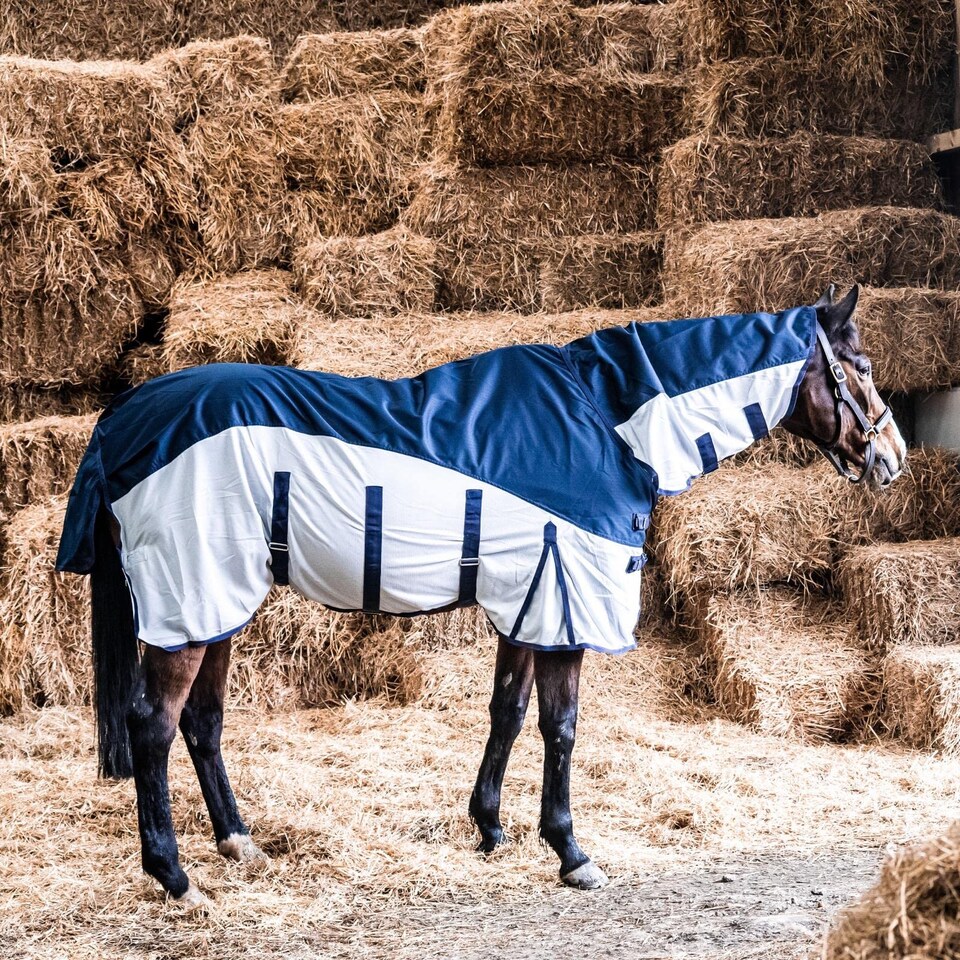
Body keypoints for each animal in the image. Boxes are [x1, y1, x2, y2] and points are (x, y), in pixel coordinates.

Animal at [56, 283, 905, 909]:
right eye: (859, 368)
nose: (893, 458)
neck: (609, 418)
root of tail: (126, 415)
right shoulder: (567, 603)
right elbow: (561, 728)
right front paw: (570, 851)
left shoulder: (529, 599)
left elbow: (508, 711)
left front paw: (491, 829)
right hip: (191, 606)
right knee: (152, 727)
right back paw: (174, 877)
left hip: (218, 604)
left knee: (201, 723)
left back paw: (239, 843)